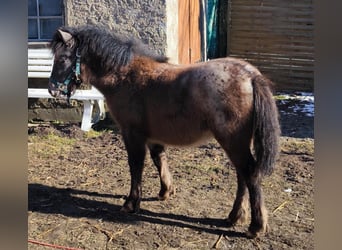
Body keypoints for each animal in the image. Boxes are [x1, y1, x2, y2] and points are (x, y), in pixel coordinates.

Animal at [48, 25, 280, 238]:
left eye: (63, 59)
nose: (52, 90)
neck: (124, 76)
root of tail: (250, 76)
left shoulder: (132, 134)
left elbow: (136, 167)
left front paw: (131, 203)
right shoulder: (152, 137)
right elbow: (159, 159)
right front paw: (165, 191)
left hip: (232, 141)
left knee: (249, 174)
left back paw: (255, 225)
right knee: (242, 175)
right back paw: (234, 216)